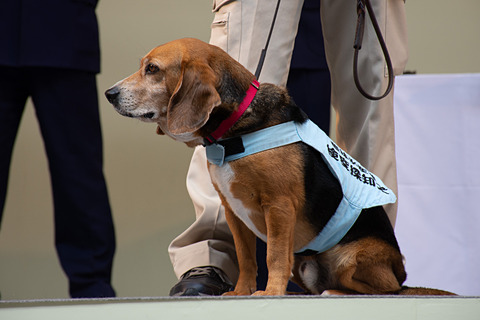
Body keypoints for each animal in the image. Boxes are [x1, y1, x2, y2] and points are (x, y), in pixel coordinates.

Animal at [106, 38, 454, 296]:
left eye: (152, 69)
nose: (109, 93)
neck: (234, 131)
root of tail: (401, 273)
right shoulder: (232, 212)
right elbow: (247, 259)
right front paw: (242, 293)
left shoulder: (279, 205)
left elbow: (273, 255)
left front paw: (271, 292)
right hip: (303, 263)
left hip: (352, 259)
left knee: (381, 292)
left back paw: (337, 292)